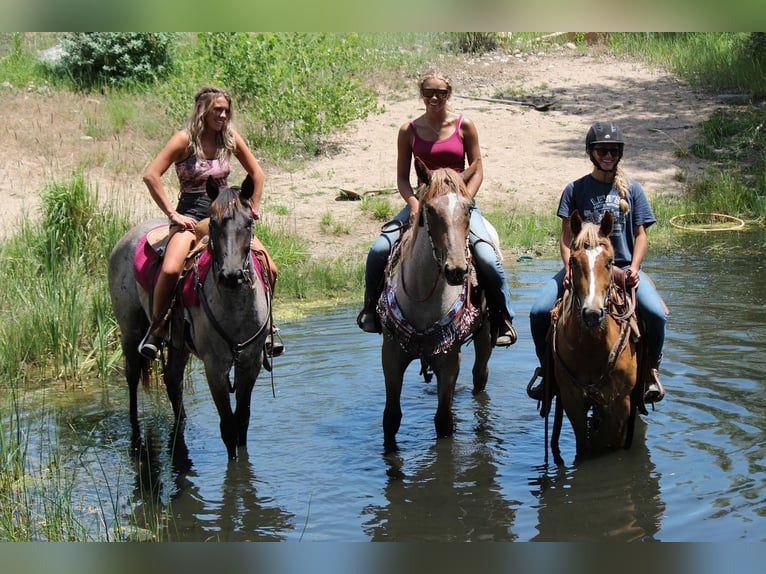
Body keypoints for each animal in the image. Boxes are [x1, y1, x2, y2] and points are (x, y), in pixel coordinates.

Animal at [108, 175, 272, 460]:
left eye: (248, 223)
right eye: (213, 223)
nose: (231, 276)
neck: (236, 310)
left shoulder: (250, 363)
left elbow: (242, 422)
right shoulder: (214, 368)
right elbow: (228, 427)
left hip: (178, 343)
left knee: (173, 379)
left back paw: (180, 424)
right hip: (131, 329)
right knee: (132, 376)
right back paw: (135, 432)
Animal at [377, 157, 492, 451]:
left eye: (468, 208)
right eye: (429, 209)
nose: (457, 270)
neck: (424, 297)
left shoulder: (449, 359)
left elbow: (443, 422)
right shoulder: (391, 355)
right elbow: (391, 418)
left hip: (485, 336)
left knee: (480, 376)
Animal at [548, 209, 642, 461]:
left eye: (609, 262)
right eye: (573, 261)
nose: (592, 314)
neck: (592, 349)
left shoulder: (621, 403)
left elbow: (613, 445)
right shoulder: (572, 401)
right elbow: (584, 446)